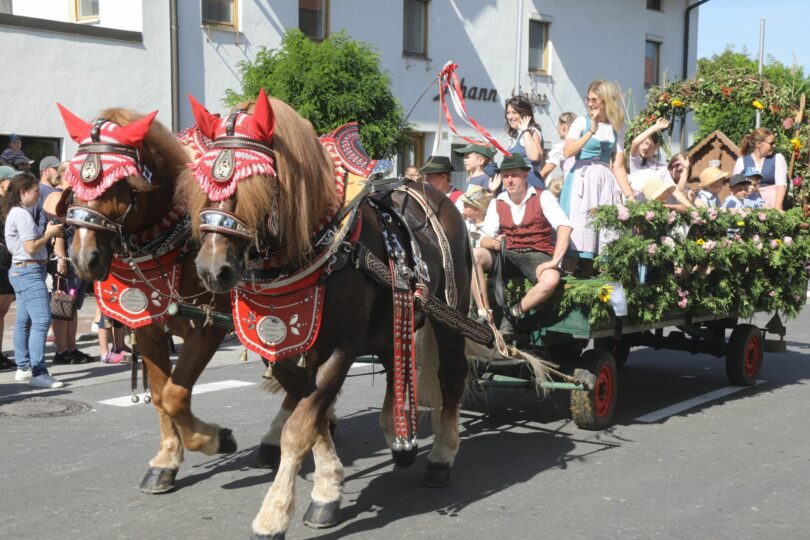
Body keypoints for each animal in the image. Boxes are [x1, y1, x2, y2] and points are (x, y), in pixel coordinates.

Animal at [57, 105, 239, 493]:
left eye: (119, 183)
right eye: (74, 183)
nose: (82, 259)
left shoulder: (210, 325)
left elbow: (175, 394)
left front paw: (214, 439)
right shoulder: (148, 328)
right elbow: (159, 394)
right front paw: (166, 460)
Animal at [179, 90, 473, 538]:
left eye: (258, 184)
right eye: (202, 184)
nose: (213, 270)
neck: (320, 248)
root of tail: (432, 192)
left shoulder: (339, 348)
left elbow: (300, 426)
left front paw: (275, 513)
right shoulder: (284, 350)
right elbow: (312, 418)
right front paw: (327, 488)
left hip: (449, 317)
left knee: (452, 378)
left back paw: (440, 457)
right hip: (391, 320)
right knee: (395, 365)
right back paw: (398, 437)